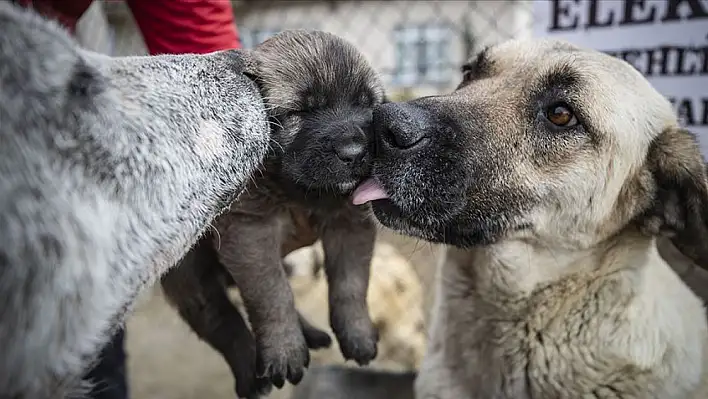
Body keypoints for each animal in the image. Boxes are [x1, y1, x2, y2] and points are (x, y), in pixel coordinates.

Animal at [160, 30, 384, 396]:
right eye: (301, 111)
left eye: (366, 105)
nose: (356, 152)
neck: (295, 190)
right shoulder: (250, 232)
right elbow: (271, 293)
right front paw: (283, 350)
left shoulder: (350, 221)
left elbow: (351, 282)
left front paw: (358, 333)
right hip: (189, 272)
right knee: (221, 319)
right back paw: (251, 376)